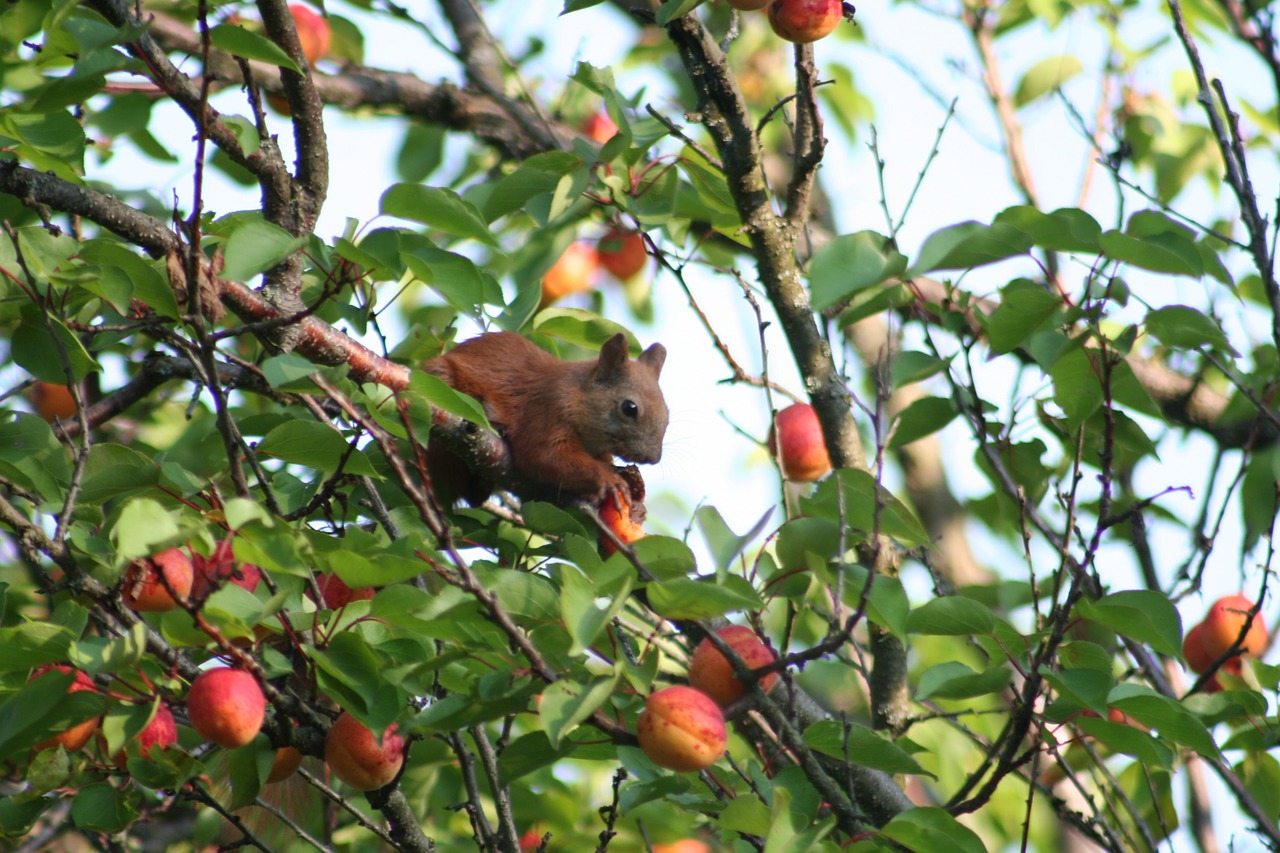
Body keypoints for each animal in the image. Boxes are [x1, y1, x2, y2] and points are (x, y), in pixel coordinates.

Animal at [424, 330, 670, 504]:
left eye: (667, 415)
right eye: (630, 408)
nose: (653, 458)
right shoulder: (547, 412)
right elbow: (544, 456)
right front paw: (608, 479)